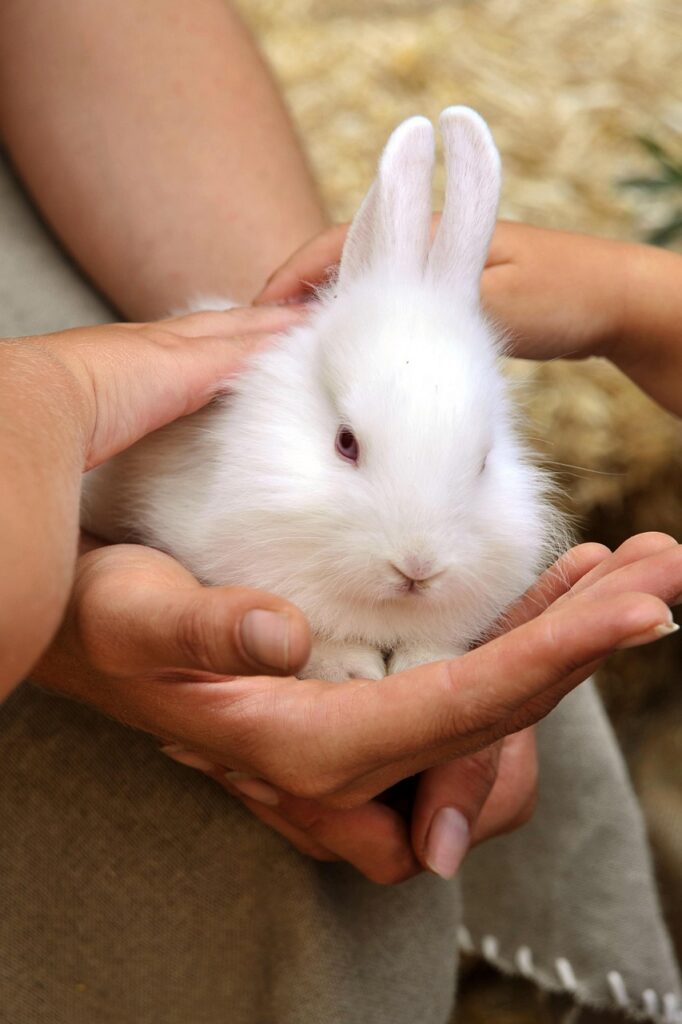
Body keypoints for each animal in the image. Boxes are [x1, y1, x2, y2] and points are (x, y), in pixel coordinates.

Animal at [82, 107, 565, 682]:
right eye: (345, 443)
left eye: (484, 462)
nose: (417, 567)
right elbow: (325, 642)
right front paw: (354, 670)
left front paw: (419, 664)